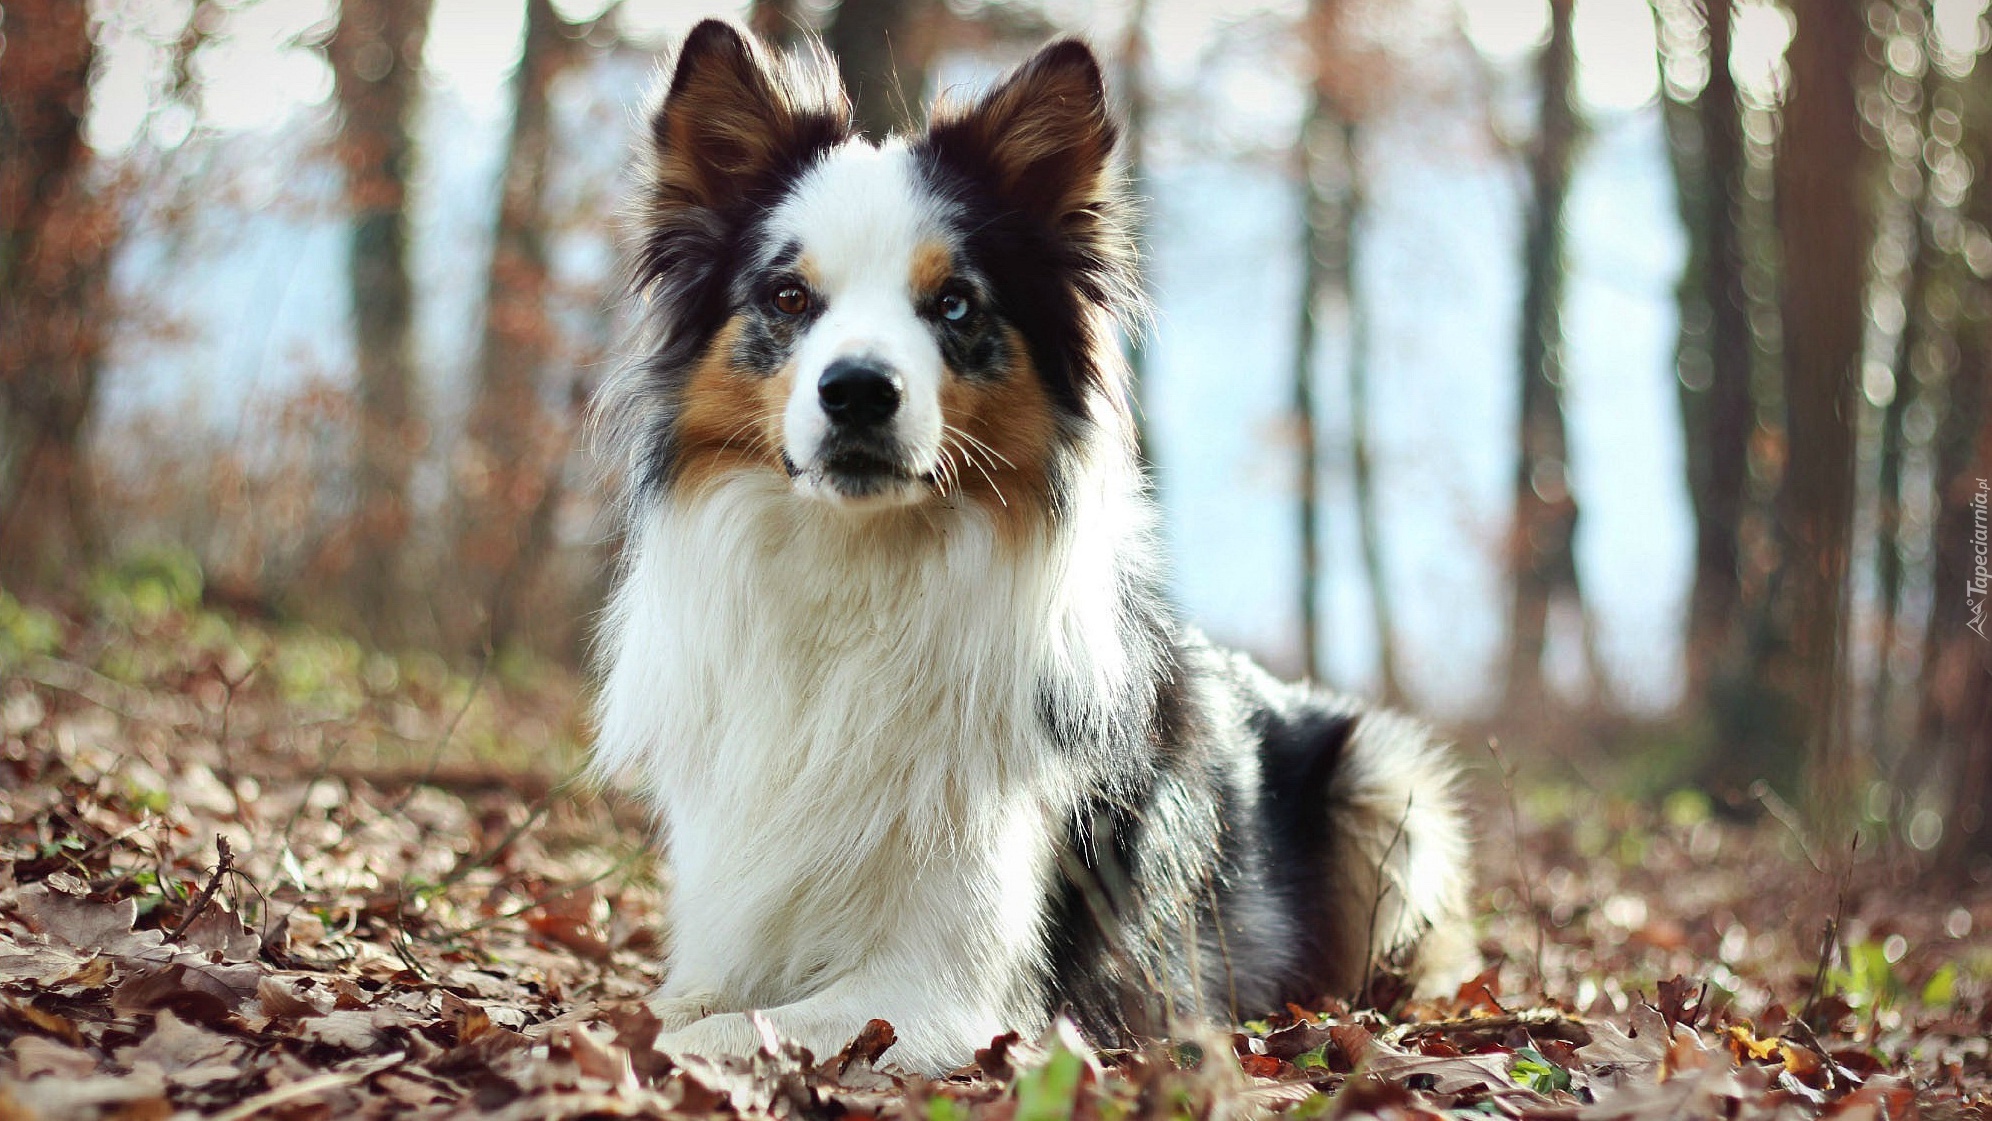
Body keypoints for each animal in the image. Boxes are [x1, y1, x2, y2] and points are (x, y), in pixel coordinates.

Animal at [581, 21, 1474, 1075]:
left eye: (955, 305)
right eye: (791, 297)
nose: (858, 390)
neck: (860, 578)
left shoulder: (944, 992)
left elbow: (716, 1033)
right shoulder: (729, 928)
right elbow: (668, 1007)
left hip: (1384, 781)